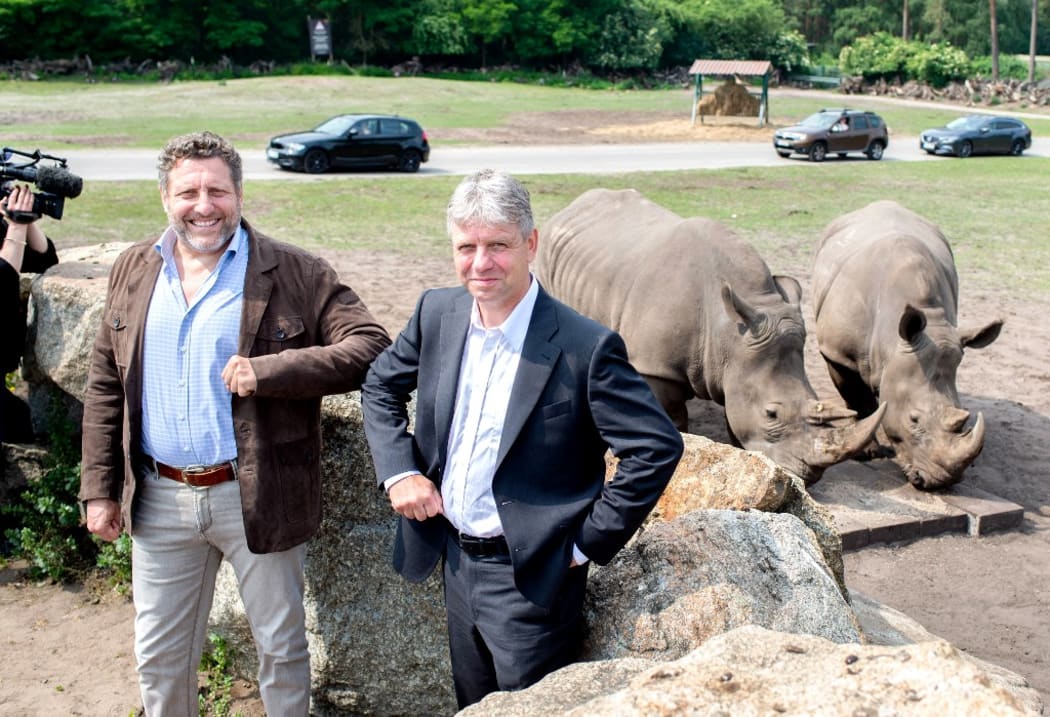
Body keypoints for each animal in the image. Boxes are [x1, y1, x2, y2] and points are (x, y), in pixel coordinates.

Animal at [537, 187, 881, 484]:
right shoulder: (654, 366)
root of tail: (571, 207)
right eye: (771, 413)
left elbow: (734, 412)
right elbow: (671, 417)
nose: (808, 476)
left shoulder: (740, 361)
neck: (726, 331)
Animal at [810, 199, 999, 491]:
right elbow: (857, 399)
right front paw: (868, 452)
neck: (891, 342)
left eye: (964, 414)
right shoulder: (837, 353)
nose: (939, 482)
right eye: (913, 419)